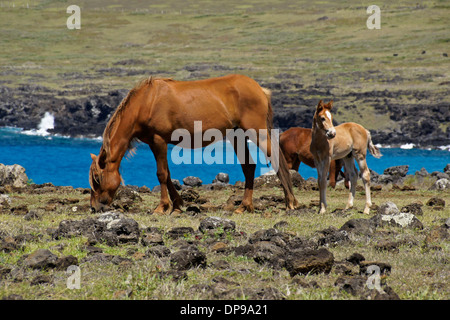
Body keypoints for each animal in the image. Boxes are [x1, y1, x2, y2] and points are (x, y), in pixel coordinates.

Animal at [89, 74, 298, 215]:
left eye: (98, 179)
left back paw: (290, 202)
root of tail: (259, 89)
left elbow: (161, 174)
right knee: (249, 167)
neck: (146, 102)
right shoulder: (157, 143)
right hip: (237, 135)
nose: (94, 207)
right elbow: (167, 174)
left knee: (277, 161)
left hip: (257, 133)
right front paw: (177, 205)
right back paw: (244, 206)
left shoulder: (158, 140)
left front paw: (162, 207)